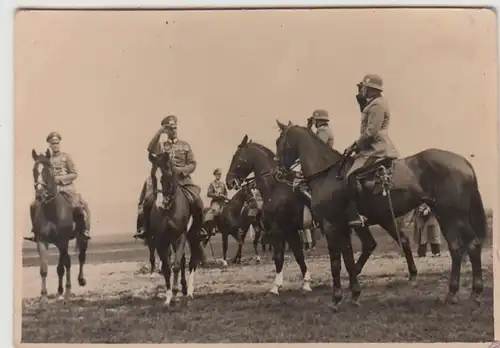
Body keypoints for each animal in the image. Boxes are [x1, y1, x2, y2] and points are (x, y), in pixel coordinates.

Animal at [29, 150, 88, 302]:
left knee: (80, 257)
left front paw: (67, 292)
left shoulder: (63, 241)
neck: (52, 210)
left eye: (47, 171)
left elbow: (65, 265)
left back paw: (80, 281)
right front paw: (44, 295)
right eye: (34, 170)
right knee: (63, 264)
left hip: (81, 238)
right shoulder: (42, 241)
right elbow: (44, 269)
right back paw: (60, 290)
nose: (39, 194)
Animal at [147, 152, 204, 308]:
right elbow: (167, 268)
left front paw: (175, 290)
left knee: (192, 261)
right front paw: (168, 298)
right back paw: (183, 289)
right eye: (153, 177)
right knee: (184, 260)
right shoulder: (161, 240)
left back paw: (189, 292)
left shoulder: (181, 236)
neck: (169, 209)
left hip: (193, 236)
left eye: (167, 175)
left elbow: (176, 265)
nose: (160, 204)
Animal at [226, 135, 314, 294]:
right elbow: (298, 255)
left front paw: (275, 286)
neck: (276, 188)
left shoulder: (279, 230)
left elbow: (279, 257)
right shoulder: (290, 231)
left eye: (238, 158)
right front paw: (306, 283)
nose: (229, 182)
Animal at [276, 120, 486, 308]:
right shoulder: (343, 227)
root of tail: (463, 161)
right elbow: (348, 259)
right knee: (460, 247)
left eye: (279, 142)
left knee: (466, 246)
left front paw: (336, 298)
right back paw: (463, 293)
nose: (278, 173)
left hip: (453, 216)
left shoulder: (331, 226)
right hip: (446, 217)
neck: (326, 174)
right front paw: (354, 294)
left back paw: (465, 292)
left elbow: (335, 262)